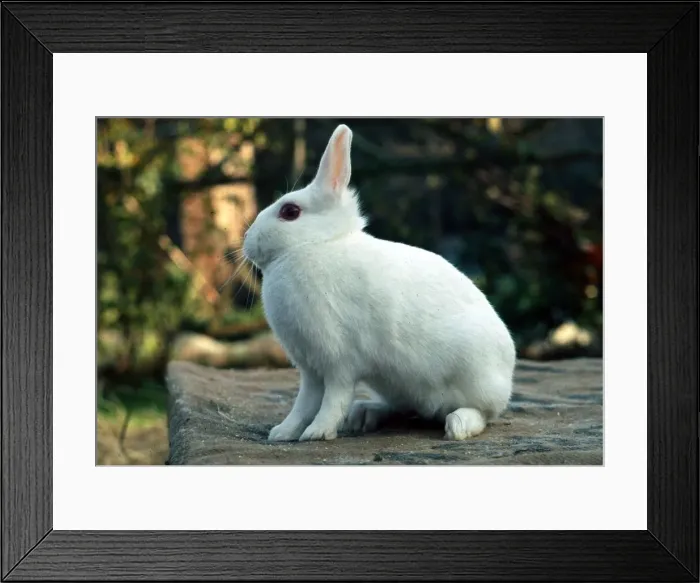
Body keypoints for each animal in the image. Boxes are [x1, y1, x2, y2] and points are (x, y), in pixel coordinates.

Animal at [242, 124, 516, 442]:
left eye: (290, 212)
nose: (247, 241)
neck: (317, 244)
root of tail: (507, 374)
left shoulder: (338, 361)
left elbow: (332, 400)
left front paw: (317, 433)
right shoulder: (311, 369)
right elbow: (304, 402)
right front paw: (283, 433)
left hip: (472, 379)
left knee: (482, 413)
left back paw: (457, 425)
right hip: (397, 384)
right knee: (403, 407)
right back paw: (364, 414)